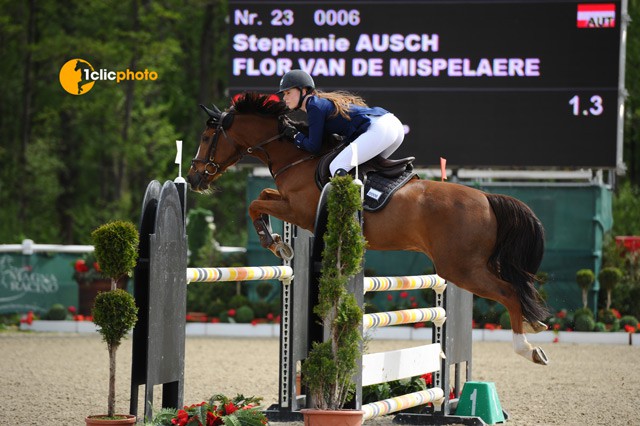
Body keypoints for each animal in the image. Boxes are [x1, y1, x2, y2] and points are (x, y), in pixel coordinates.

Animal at [185, 91, 552, 364]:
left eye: (206, 137)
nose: (193, 178)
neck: (297, 156)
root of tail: (487, 198)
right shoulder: (288, 202)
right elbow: (261, 196)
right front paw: (277, 240)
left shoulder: (299, 211)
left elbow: (254, 203)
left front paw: (276, 243)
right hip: (471, 265)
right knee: (516, 288)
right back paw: (535, 323)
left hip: (460, 268)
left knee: (509, 292)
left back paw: (528, 347)